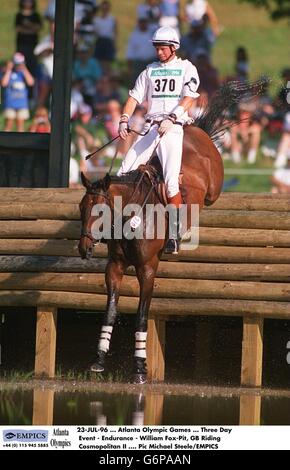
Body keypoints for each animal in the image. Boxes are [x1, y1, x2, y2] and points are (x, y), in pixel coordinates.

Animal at [78, 80, 262, 382]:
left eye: (100, 211)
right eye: (81, 208)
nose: (83, 248)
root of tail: (195, 130)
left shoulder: (148, 268)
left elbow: (141, 315)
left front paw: (139, 367)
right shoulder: (114, 267)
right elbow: (110, 311)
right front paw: (99, 359)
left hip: (213, 188)